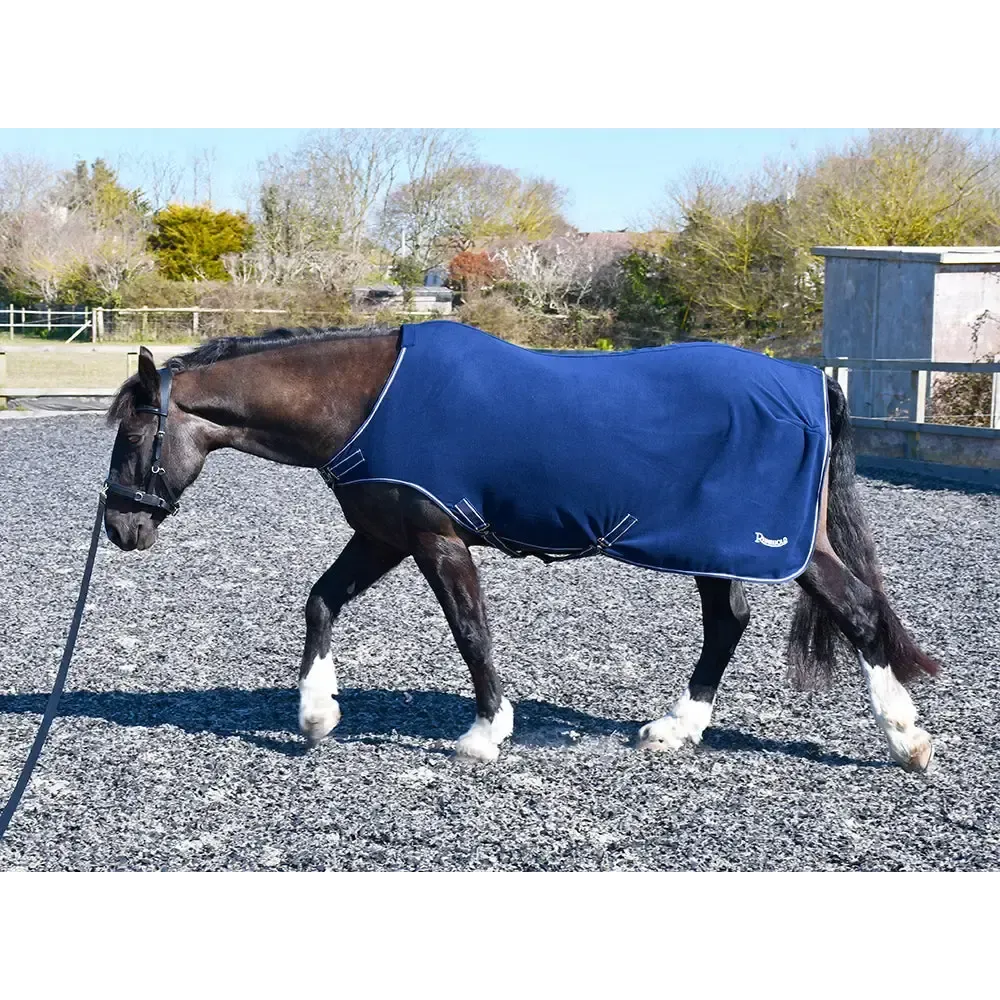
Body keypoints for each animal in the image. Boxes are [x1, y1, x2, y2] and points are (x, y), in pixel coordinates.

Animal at [102, 325, 940, 771]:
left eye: (135, 438)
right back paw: (678, 729)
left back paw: (905, 739)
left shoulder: (434, 538)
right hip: (715, 548)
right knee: (727, 625)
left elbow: (470, 631)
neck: (365, 399)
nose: (119, 528)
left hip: (768, 546)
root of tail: (808, 381)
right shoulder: (384, 533)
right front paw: (314, 714)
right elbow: (320, 601)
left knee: (858, 614)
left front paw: (485, 732)